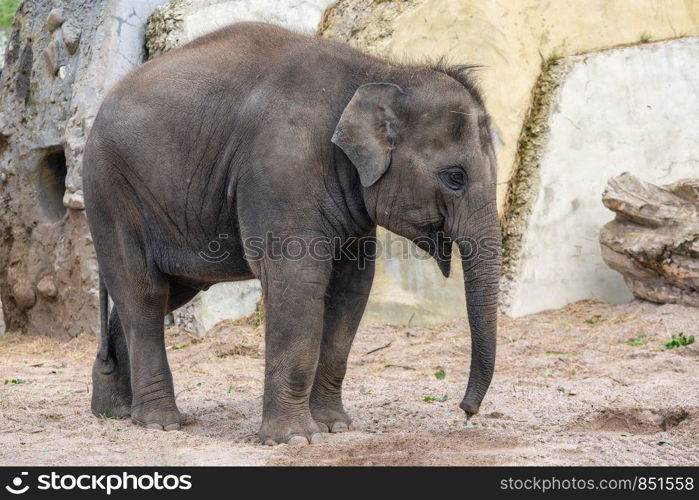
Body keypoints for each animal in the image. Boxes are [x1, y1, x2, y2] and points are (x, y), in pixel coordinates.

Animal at [83, 22, 504, 446]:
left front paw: (334, 426)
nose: (466, 411)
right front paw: (295, 438)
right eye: (455, 177)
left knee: (169, 291)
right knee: (145, 292)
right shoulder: (281, 169)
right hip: (112, 191)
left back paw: (115, 412)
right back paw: (160, 422)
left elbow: (352, 287)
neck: (381, 71)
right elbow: (297, 281)